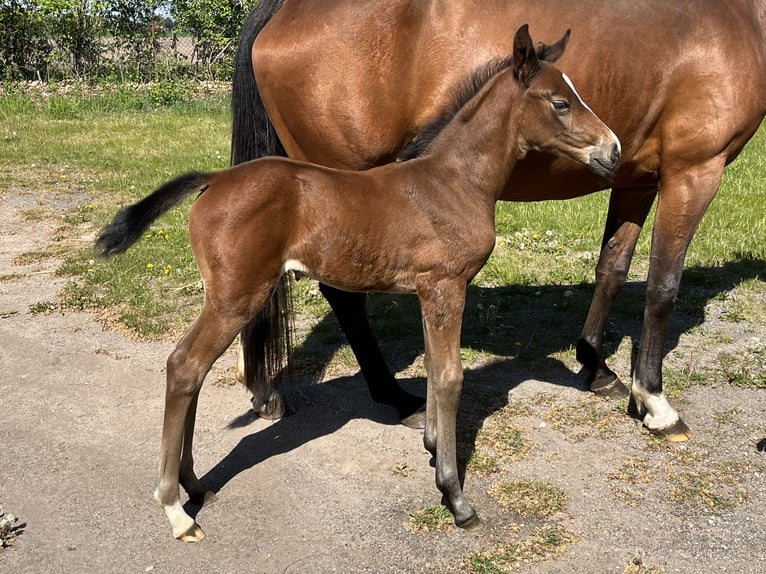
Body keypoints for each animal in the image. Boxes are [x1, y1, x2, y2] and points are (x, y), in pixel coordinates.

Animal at [97, 24, 624, 544]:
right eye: (560, 102)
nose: (614, 150)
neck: (453, 183)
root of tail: (215, 179)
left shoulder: (428, 293)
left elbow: (432, 369)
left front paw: (432, 446)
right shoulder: (447, 286)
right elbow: (449, 379)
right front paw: (455, 497)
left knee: (193, 371)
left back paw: (194, 484)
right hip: (235, 297)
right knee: (185, 366)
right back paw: (175, 508)